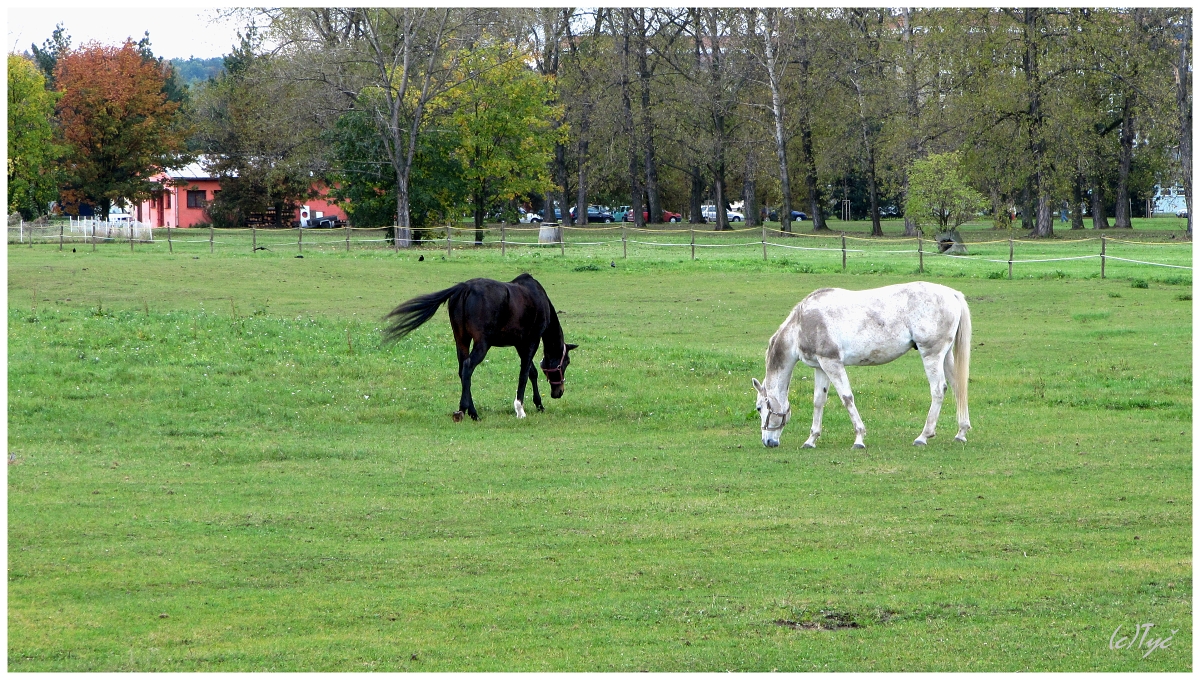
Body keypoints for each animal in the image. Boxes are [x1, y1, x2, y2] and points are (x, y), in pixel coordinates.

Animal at [381, 272, 573, 419]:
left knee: (463, 370)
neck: (537, 297)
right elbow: (524, 374)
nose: (559, 392)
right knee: (468, 367)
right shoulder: (531, 341)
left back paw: (468, 410)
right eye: (566, 362)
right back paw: (470, 412)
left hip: (461, 340)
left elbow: (532, 372)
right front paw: (520, 409)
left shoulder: (520, 344)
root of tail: (465, 288)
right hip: (482, 344)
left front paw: (539, 404)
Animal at [753, 283, 969, 448]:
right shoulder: (821, 367)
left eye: (758, 408)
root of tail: (952, 293)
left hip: (931, 355)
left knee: (938, 390)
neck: (801, 324)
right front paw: (811, 440)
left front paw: (859, 438)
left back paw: (923, 436)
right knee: (958, 387)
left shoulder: (832, 363)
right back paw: (961, 432)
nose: (768, 442)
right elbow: (818, 401)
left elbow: (847, 398)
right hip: (946, 356)